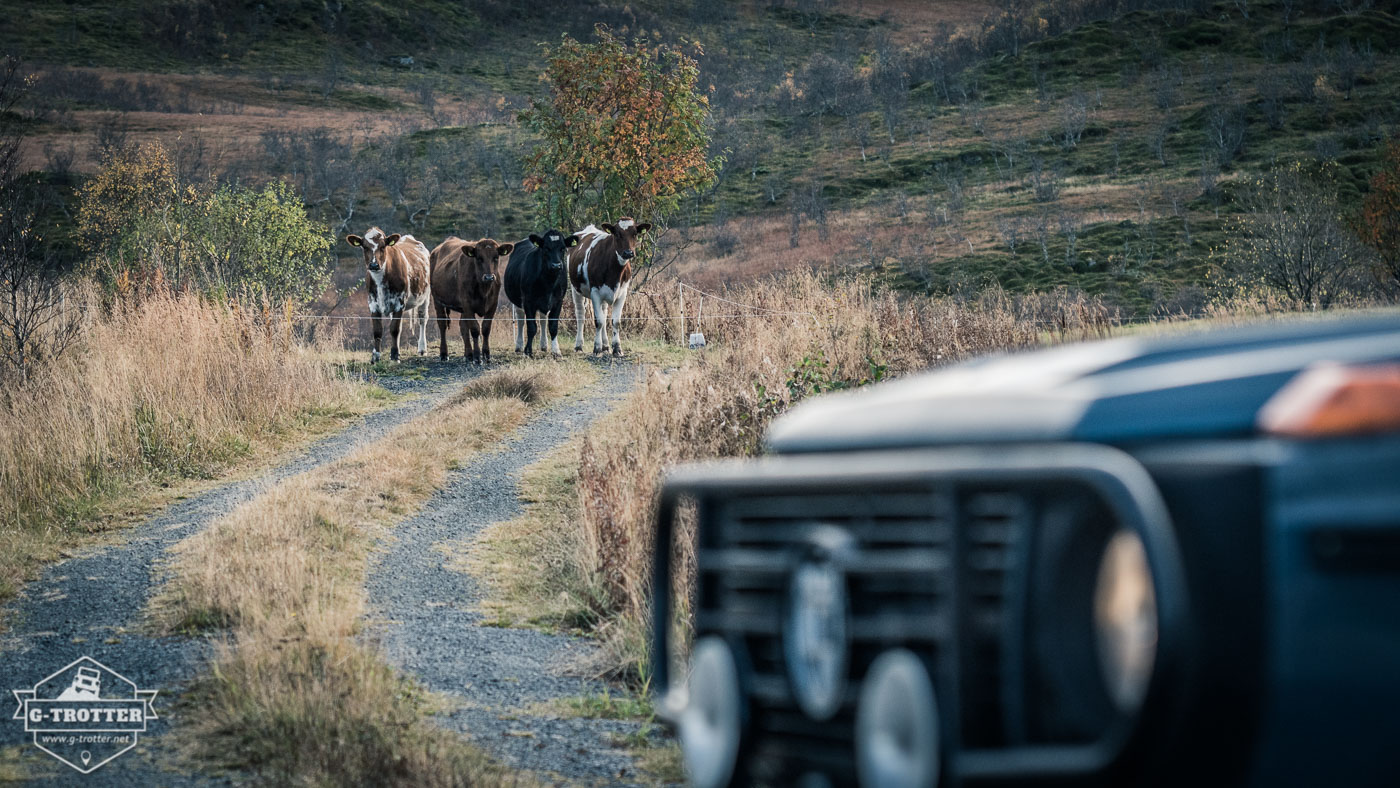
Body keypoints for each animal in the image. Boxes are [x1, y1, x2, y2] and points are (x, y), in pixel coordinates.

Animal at [345, 228, 431, 363]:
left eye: (382, 246)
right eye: (365, 247)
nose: (374, 265)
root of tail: (409, 238)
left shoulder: (400, 302)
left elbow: (395, 329)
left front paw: (395, 356)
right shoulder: (372, 303)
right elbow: (378, 330)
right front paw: (376, 356)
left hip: (425, 296)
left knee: (422, 319)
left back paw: (422, 349)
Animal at [568, 215, 649, 354]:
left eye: (635, 234)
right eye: (617, 234)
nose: (628, 253)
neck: (614, 271)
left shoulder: (622, 293)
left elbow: (615, 321)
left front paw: (616, 348)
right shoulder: (595, 292)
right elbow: (598, 321)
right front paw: (596, 348)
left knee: (604, 313)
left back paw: (605, 346)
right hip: (575, 288)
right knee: (581, 315)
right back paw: (579, 346)